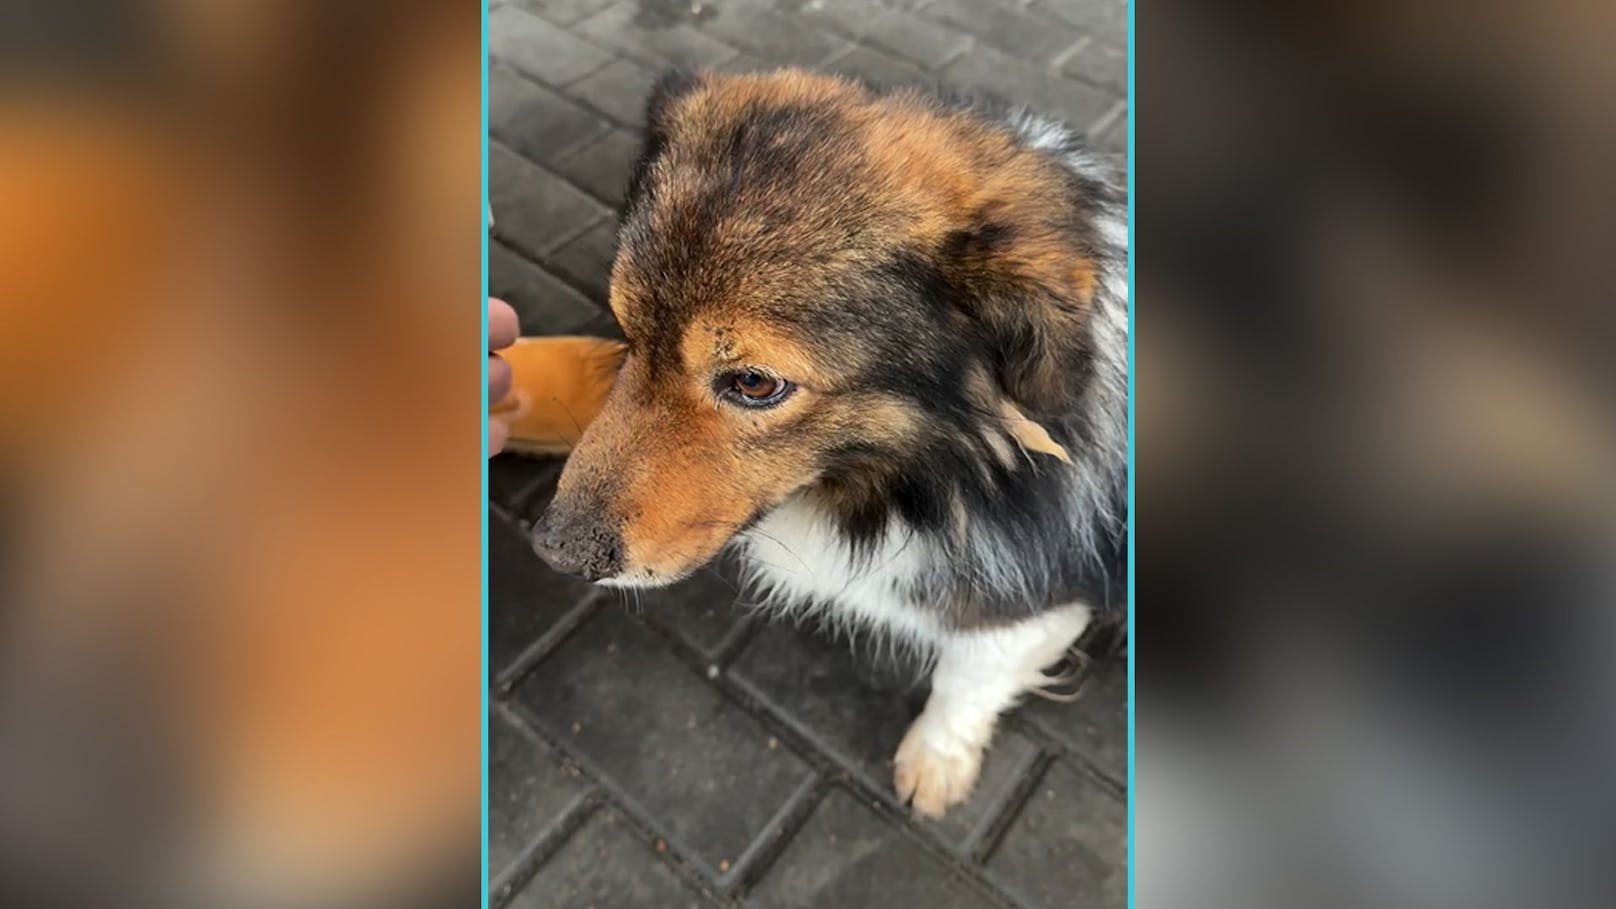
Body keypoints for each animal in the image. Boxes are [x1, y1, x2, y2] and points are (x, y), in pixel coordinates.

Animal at [530, 69, 1124, 815]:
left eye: (754, 383)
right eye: (627, 331)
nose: (553, 549)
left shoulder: (1037, 587)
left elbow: (970, 672)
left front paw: (937, 759)